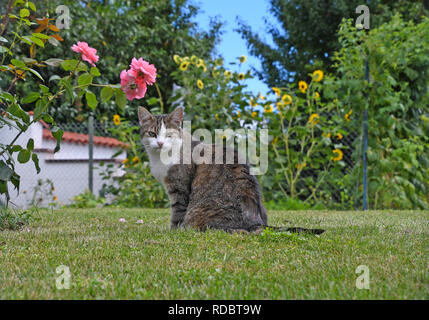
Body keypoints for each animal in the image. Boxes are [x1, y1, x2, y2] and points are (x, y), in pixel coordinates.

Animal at [139, 106, 322, 234]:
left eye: (168, 135)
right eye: (152, 134)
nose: (160, 143)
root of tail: (257, 222)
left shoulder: (180, 188)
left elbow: (177, 213)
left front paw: (173, 232)